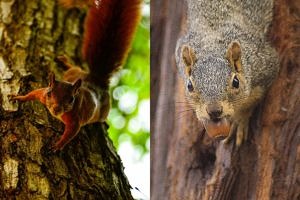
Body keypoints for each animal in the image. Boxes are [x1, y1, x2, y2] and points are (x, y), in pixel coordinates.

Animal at [11, 0, 142, 151]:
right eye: (50, 93)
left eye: (71, 99)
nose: (56, 109)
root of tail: (96, 79)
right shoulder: (42, 94)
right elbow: (32, 94)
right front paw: (18, 98)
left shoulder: (75, 119)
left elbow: (70, 134)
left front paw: (57, 145)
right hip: (74, 73)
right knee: (74, 67)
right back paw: (63, 62)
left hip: (104, 109)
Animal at [176, 0, 278, 146]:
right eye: (189, 86)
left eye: (236, 82)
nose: (214, 111)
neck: (211, 46)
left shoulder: (265, 65)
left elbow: (252, 102)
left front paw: (240, 120)